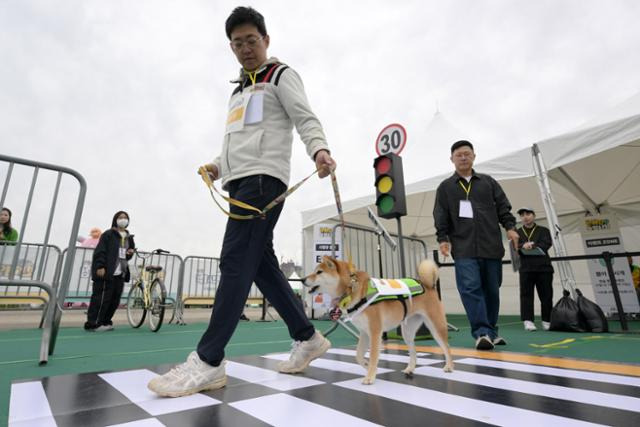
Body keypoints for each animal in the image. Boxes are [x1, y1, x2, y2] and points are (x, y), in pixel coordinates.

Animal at [302, 258, 452, 384]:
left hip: (436, 327)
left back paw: (449, 366)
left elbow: (374, 355)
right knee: (414, 352)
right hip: (407, 332)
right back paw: (410, 368)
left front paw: (370, 376)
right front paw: (367, 365)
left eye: (319, 272)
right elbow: (358, 355)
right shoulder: (364, 332)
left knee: (446, 347)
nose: (302, 279)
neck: (351, 288)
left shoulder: (375, 331)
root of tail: (428, 285)